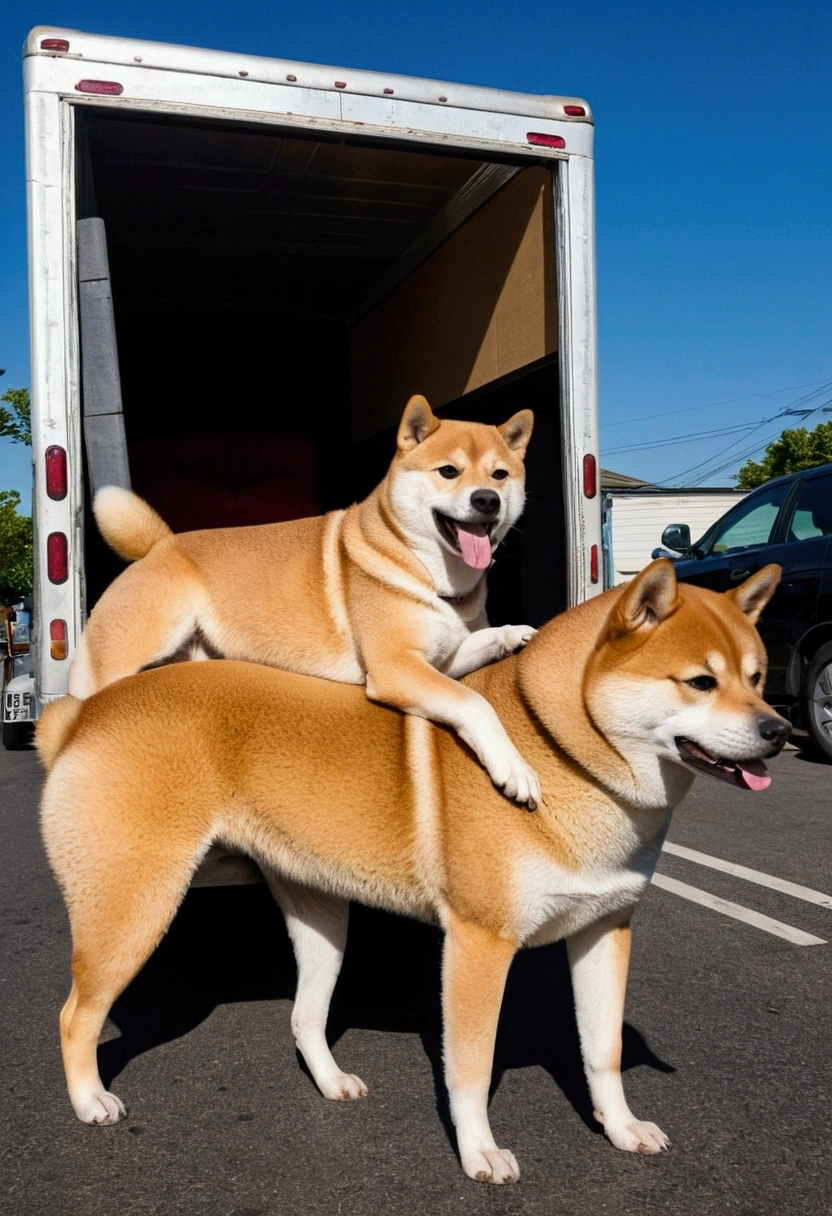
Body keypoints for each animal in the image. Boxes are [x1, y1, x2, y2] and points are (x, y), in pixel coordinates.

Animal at [37, 561, 788, 1186]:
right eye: (700, 681)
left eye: (757, 677)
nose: (780, 731)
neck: (559, 753)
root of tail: (83, 716)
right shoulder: (480, 945)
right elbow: (472, 1068)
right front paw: (481, 1152)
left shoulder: (605, 932)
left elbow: (601, 1050)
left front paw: (622, 1127)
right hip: (135, 911)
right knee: (75, 1016)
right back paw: (88, 1100)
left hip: (321, 920)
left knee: (304, 1019)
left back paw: (332, 1081)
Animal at [69, 396, 540, 807]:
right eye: (448, 471)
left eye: (500, 475)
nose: (487, 499)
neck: (431, 577)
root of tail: (158, 547)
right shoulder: (395, 667)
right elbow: (474, 703)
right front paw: (515, 768)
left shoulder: (439, 660)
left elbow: (484, 641)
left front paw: (515, 634)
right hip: (140, 643)